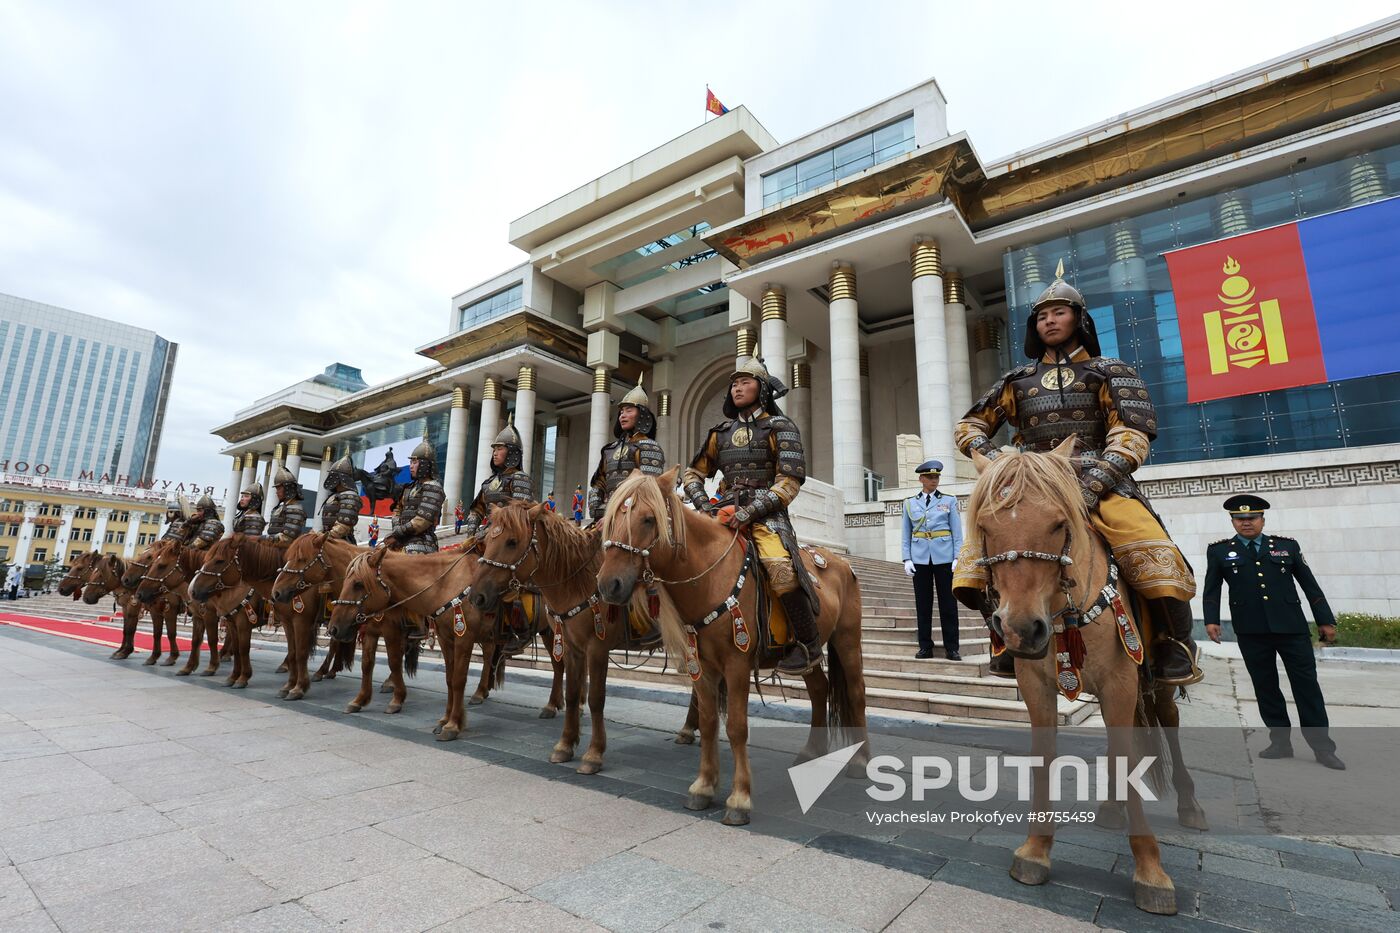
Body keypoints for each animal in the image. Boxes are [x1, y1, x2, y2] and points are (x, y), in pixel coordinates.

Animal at [473, 501, 700, 767]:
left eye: (512, 541)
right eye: (488, 539)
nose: (477, 595)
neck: (577, 581)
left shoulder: (597, 648)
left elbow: (596, 698)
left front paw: (594, 753)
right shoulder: (572, 646)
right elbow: (571, 692)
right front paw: (565, 744)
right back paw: (689, 728)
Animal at [590, 467, 862, 823]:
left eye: (648, 519)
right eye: (610, 519)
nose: (610, 585)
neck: (708, 577)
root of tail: (842, 563)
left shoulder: (737, 664)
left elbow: (736, 727)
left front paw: (739, 798)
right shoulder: (702, 665)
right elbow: (708, 723)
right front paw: (703, 787)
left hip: (847, 639)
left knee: (855, 693)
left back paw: (860, 762)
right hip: (806, 655)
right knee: (819, 688)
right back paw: (812, 752)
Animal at [963, 437, 1204, 913]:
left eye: (1059, 523)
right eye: (984, 525)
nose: (1020, 629)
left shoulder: (1121, 681)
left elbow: (1130, 759)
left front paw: (1150, 871)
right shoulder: (1036, 687)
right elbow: (1045, 757)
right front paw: (1036, 850)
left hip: (1156, 683)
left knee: (1167, 725)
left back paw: (1188, 804)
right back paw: (1111, 808)